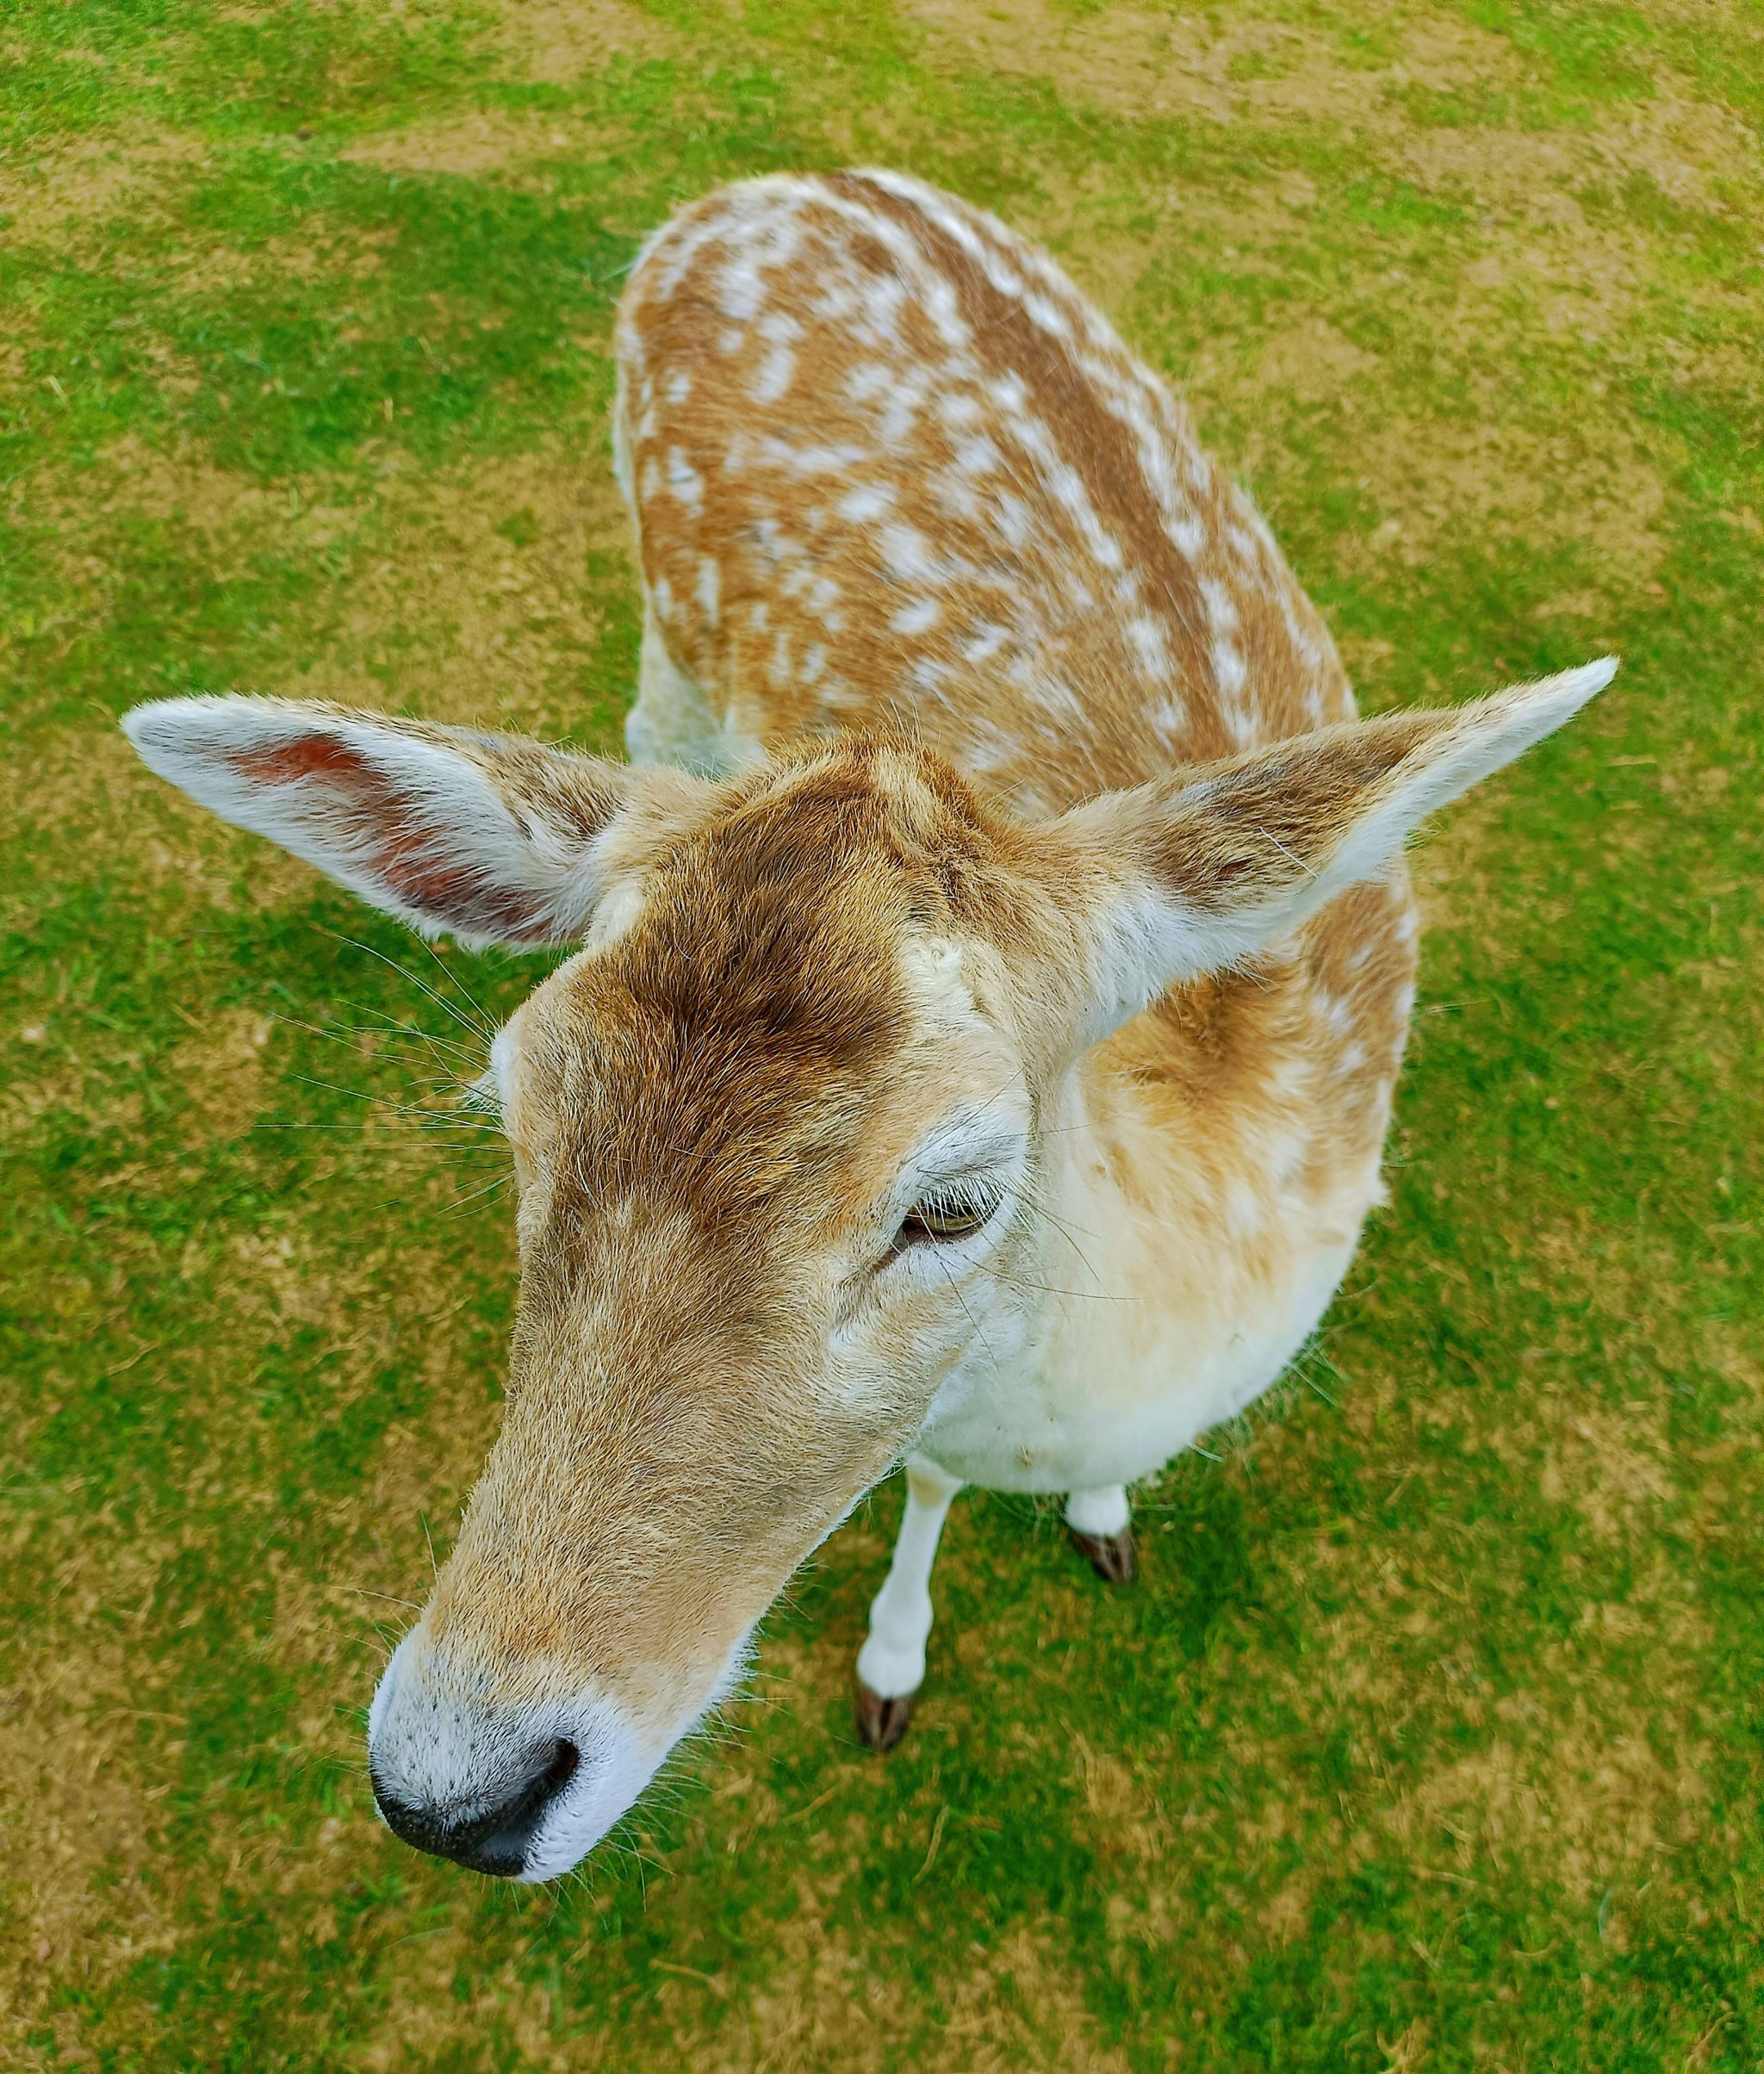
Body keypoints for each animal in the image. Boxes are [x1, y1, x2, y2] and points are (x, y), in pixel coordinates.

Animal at [122, 169, 1612, 1883]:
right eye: (516, 1107)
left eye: (953, 1200)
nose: (454, 1785)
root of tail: (774, 183)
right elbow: (927, 1483)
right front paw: (893, 1667)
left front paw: (1102, 1530)